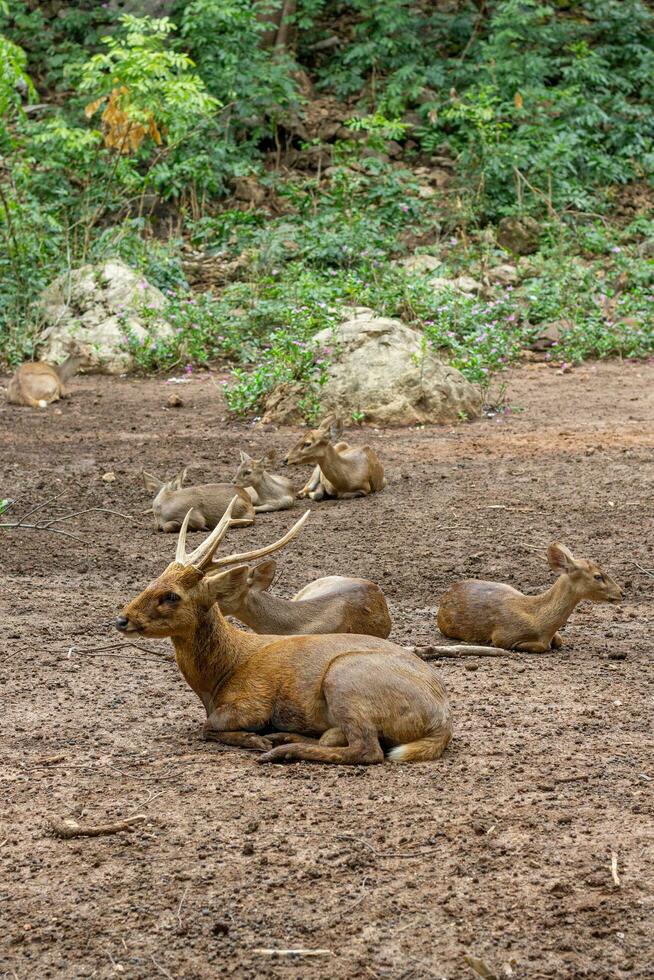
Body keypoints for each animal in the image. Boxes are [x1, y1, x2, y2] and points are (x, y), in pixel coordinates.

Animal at [438, 540, 624, 656]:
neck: (541, 623)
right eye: (598, 576)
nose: (622, 593)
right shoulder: (502, 636)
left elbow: (559, 640)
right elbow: (541, 647)